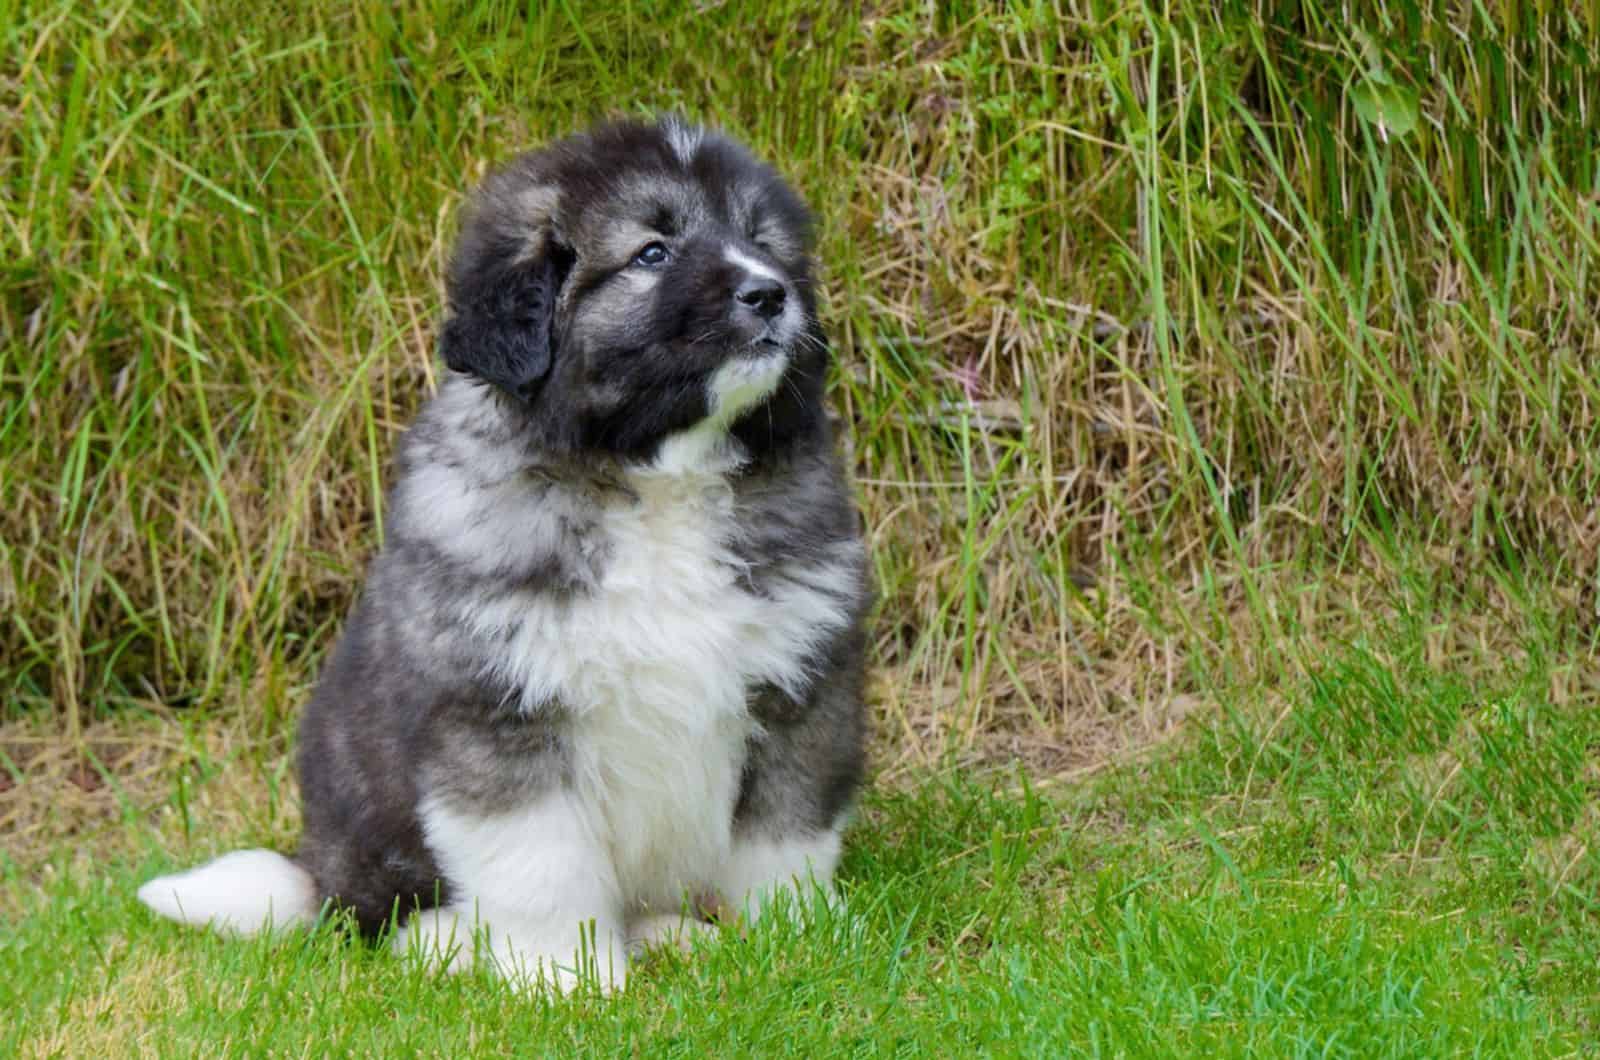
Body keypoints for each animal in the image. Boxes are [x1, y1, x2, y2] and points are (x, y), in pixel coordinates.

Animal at [140, 118, 876, 999]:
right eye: (652, 253)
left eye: (762, 241)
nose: (769, 292)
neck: (654, 474)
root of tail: (316, 870)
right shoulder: (498, 715)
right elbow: (543, 866)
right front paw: (572, 982)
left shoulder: (798, 687)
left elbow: (783, 835)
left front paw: (795, 941)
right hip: (367, 836)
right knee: (375, 918)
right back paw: (451, 943)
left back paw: (668, 933)